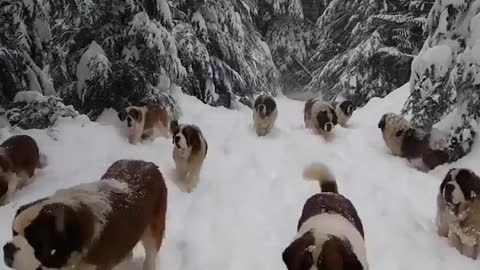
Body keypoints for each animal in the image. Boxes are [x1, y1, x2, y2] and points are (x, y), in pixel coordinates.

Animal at [2, 159, 167, 270]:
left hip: (153, 231)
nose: (7, 248)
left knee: (150, 255)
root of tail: (147, 163)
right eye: (14, 232)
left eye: (34, 240)